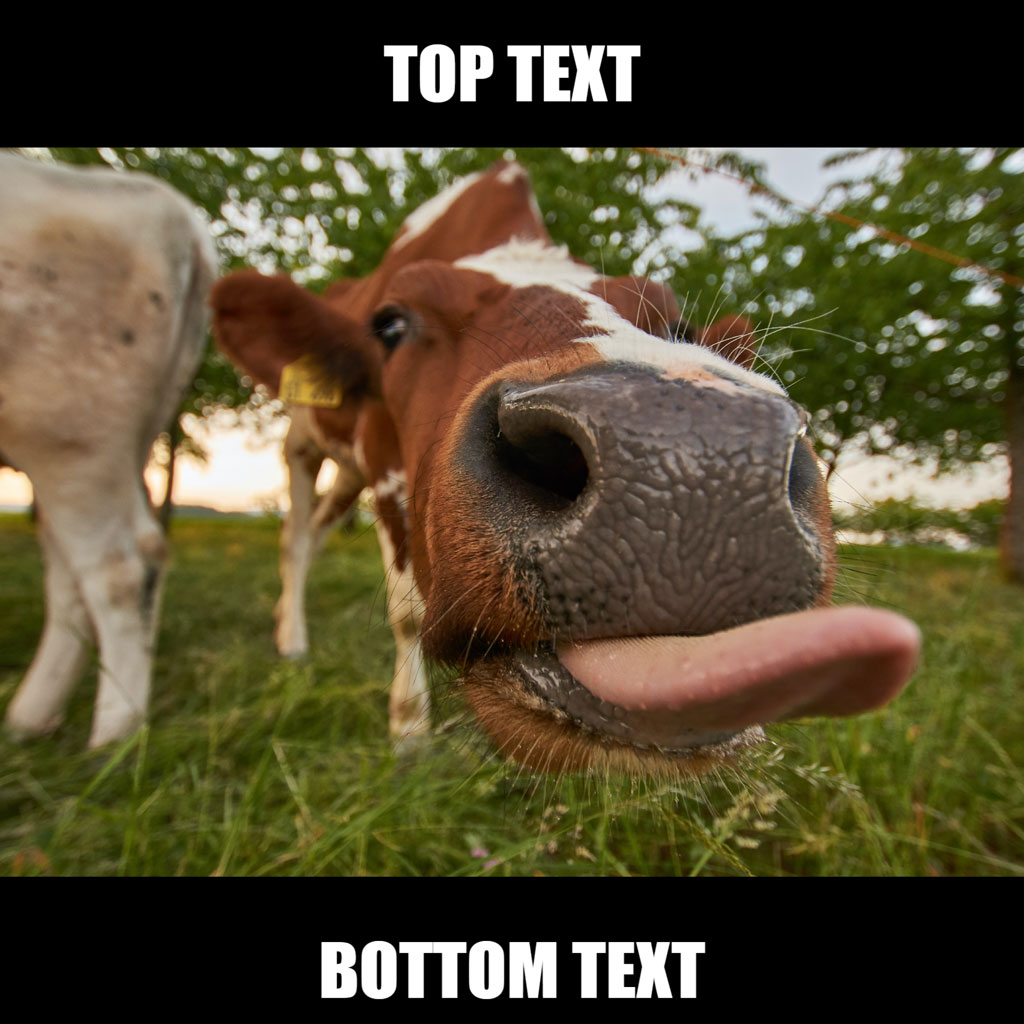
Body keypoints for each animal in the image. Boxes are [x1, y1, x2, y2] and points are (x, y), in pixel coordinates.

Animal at [0, 152, 218, 748]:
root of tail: (180, 219)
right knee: (72, 575)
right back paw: (30, 720)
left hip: (71, 427)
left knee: (118, 568)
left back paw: (113, 737)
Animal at [211, 160, 920, 776]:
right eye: (389, 324)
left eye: (679, 325)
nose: (692, 464)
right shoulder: (383, 462)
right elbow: (408, 611)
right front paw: (409, 734)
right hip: (304, 444)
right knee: (296, 536)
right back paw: (293, 641)